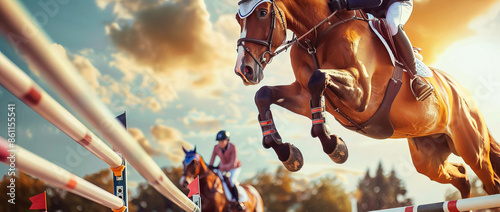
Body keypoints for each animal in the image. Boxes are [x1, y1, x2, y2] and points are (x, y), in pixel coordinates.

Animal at [234, 0, 500, 199]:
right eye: (238, 19)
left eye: (262, 12)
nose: (243, 70)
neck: (319, 33)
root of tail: (465, 94)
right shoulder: (303, 97)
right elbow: (264, 94)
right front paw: (286, 152)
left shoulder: (361, 93)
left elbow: (318, 79)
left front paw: (334, 146)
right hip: (429, 158)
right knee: (462, 177)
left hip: (472, 149)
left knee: (490, 182)